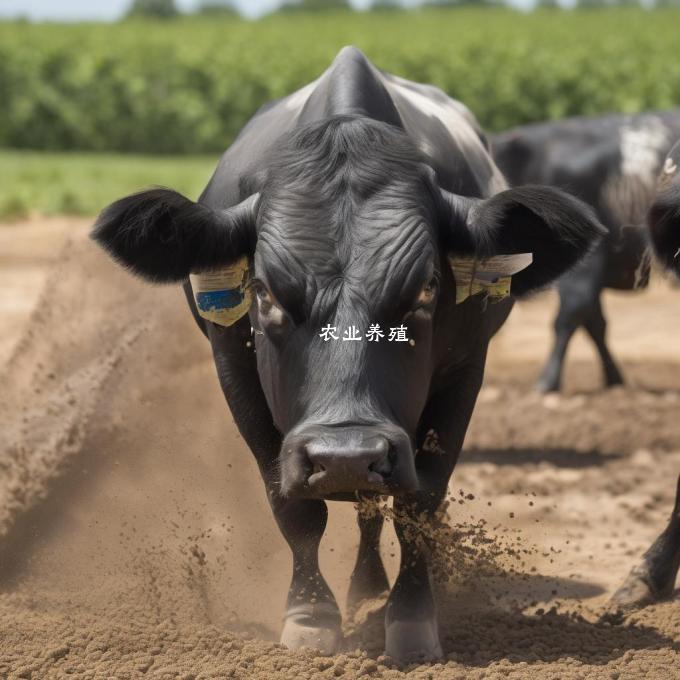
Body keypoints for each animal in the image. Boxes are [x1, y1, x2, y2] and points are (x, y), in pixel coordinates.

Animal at [89, 46, 600, 660]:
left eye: (427, 287)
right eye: (263, 291)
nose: (346, 455)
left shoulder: (463, 374)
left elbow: (418, 504)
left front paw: (411, 620)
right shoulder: (234, 373)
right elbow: (293, 507)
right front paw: (310, 616)